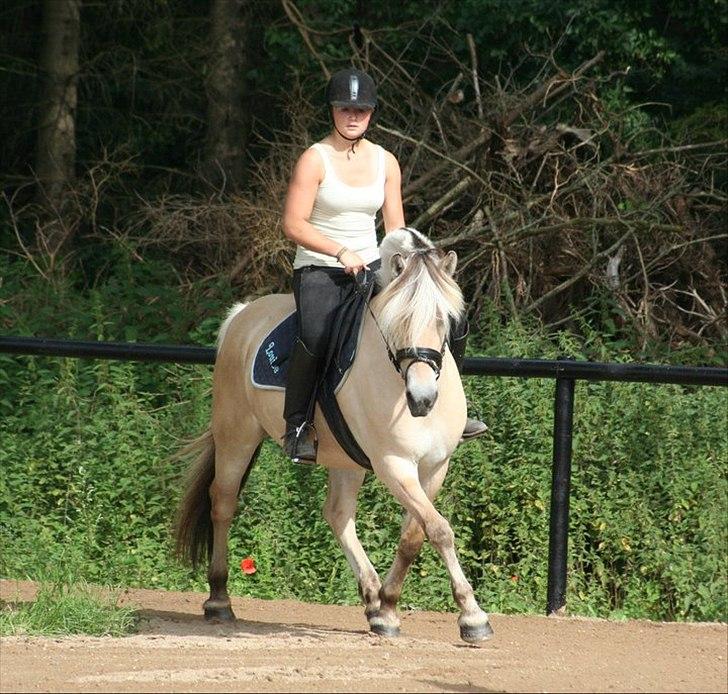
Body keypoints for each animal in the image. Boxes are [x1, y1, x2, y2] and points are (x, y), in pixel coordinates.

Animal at [175, 228, 494, 648]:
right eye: (397, 321)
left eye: (446, 322)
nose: (422, 399)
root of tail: (242, 314)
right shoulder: (394, 465)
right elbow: (439, 529)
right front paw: (473, 616)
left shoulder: (434, 466)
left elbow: (415, 535)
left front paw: (388, 609)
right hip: (236, 435)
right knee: (223, 502)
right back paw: (219, 600)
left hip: (345, 458)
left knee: (338, 514)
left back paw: (372, 599)